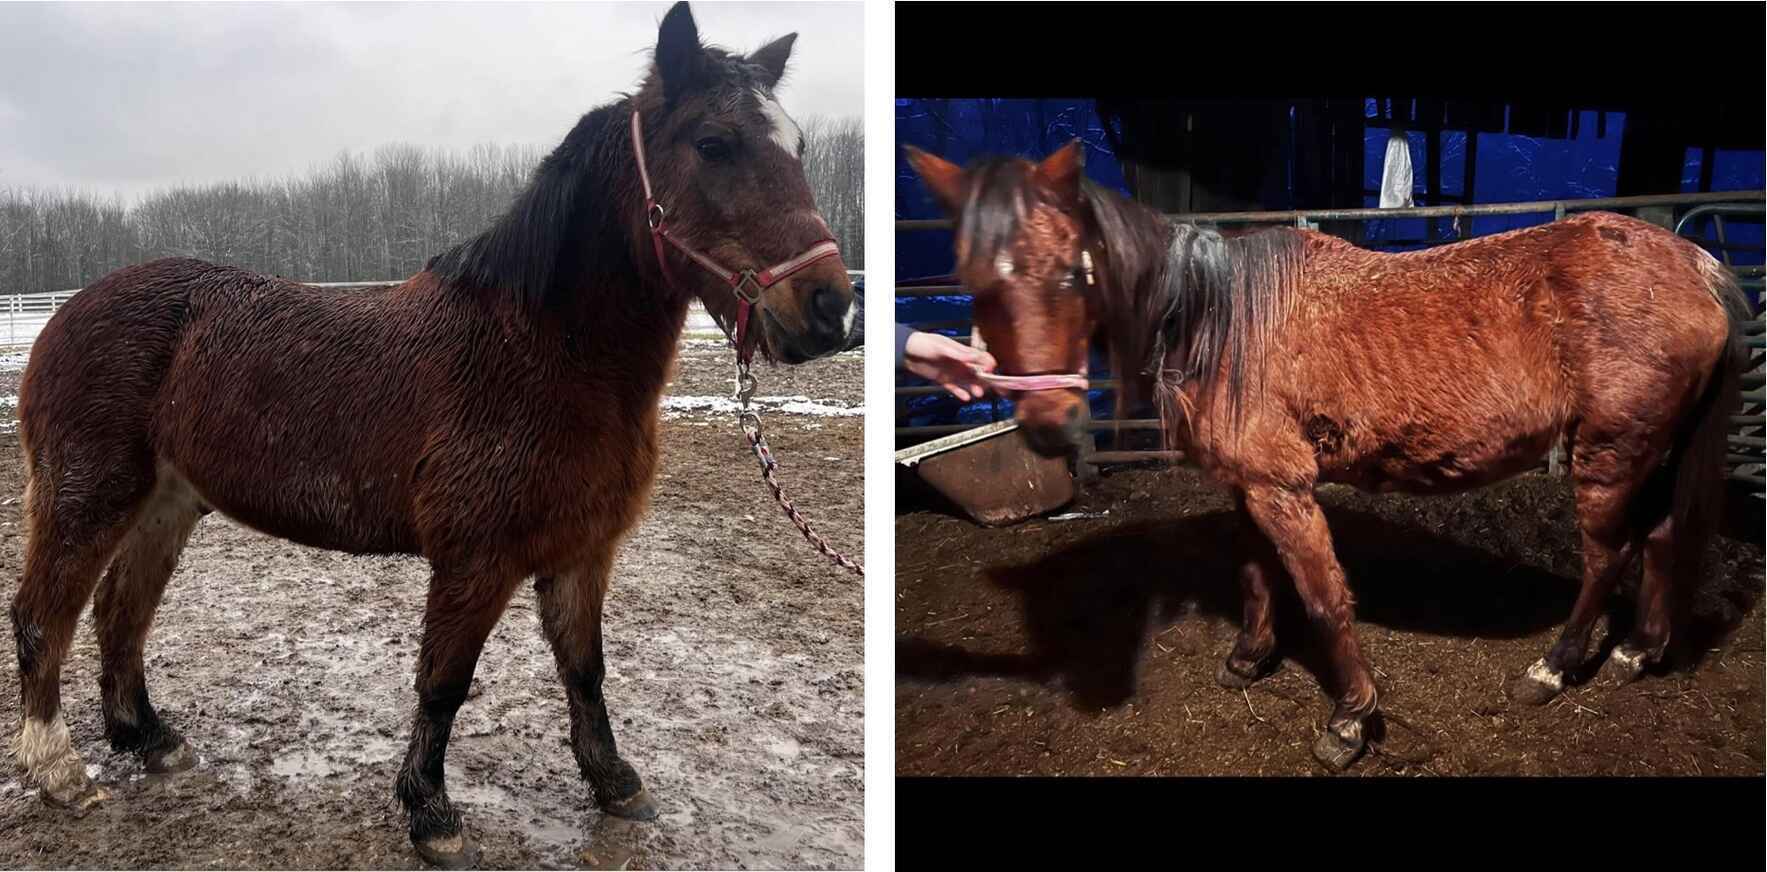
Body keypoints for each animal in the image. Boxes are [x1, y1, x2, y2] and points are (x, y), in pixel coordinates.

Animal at [9, 3, 856, 865]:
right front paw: (431, 812)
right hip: (90, 498)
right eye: (714, 143)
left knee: (120, 613)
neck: (541, 353)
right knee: (45, 613)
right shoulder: (475, 561)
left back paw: (147, 737)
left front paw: (616, 783)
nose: (831, 311)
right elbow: (444, 684)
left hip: (168, 503)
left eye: (797, 146)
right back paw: (60, 769)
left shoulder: (584, 551)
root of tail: (68, 315)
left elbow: (585, 671)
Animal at [905, 141, 1749, 771]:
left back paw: (1553, 668)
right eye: (971, 278)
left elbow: (1322, 596)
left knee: (1609, 555)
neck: (1219, 317)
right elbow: (1253, 572)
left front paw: (1348, 722)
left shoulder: (1283, 488)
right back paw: (1637, 652)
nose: (1047, 423)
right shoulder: (1247, 485)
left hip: (1609, 453)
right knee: (1663, 539)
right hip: (1654, 449)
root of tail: (1694, 264)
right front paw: (1248, 659)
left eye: (1071, 271)